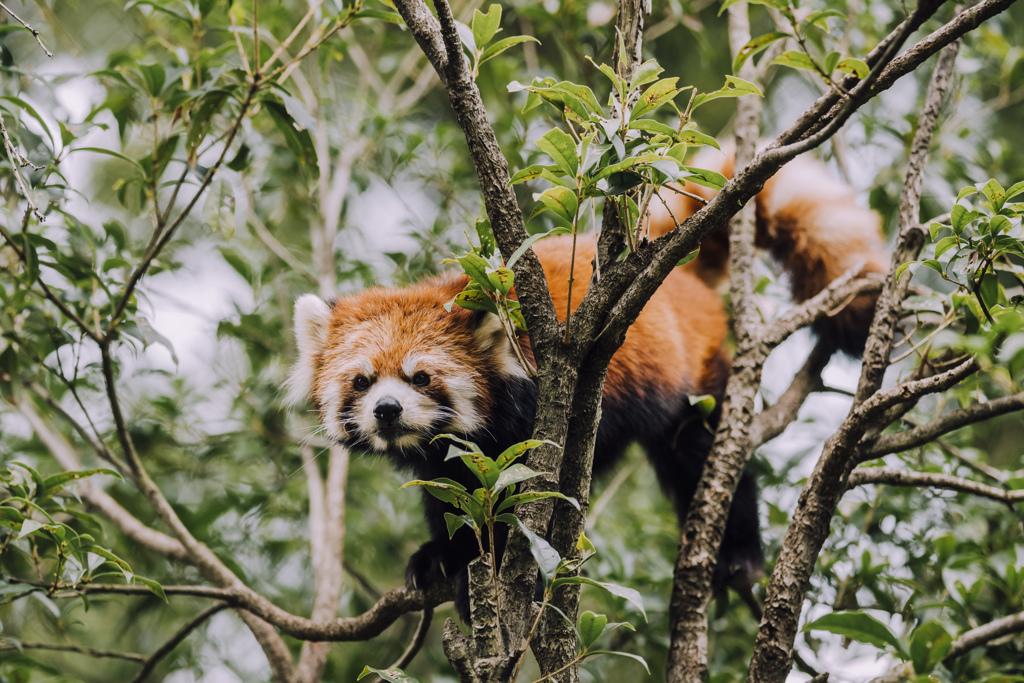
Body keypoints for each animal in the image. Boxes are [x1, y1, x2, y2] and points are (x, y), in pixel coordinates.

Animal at [290, 152, 888, 622]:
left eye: (420, 377)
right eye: (363, 381)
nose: (388, 410)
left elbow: (535, 498)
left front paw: (510, 569)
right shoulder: (444, 460)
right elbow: (454, 495)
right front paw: (444, 555)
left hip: (693, 380)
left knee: (700, 456)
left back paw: (737, 552)